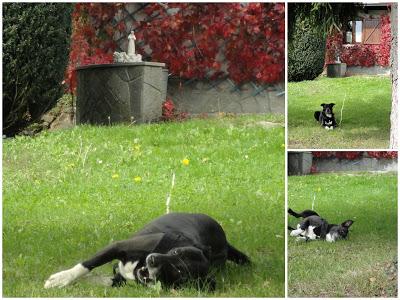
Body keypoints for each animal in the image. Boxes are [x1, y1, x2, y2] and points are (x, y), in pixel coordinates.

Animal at [44, 212, 250, 290]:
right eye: (176, 253)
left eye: (179, 271)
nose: (153, 260)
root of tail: (225, 243)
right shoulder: (118, 246)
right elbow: (87, 265)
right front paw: (62, 278)